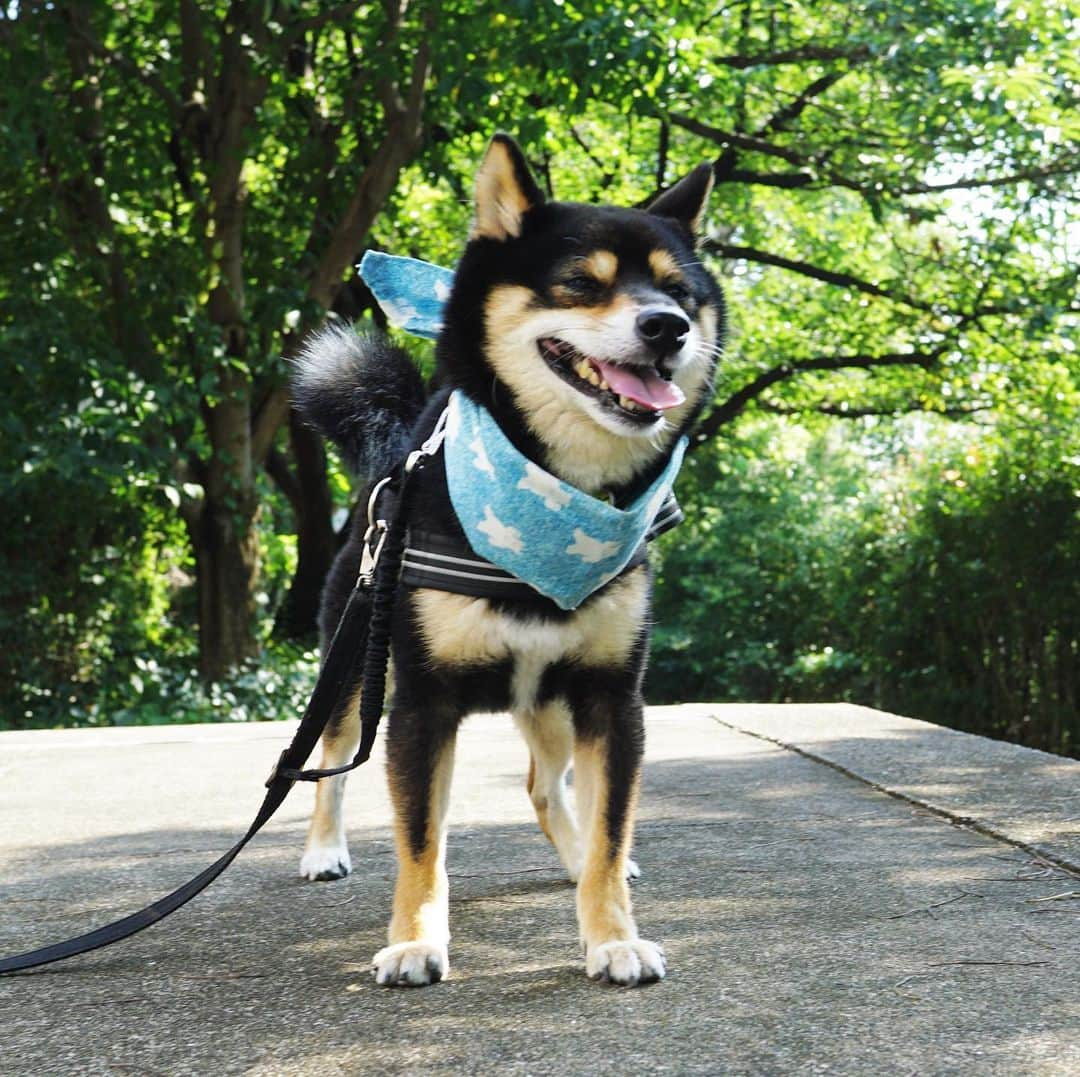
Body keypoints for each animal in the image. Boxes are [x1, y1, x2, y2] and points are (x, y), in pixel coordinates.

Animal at [291, 132, 725, 985]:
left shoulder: (610, 696)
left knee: (543, 785)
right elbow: (421, 843)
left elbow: (612, 825)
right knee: (330, 759)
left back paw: (577, 857)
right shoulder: (420, 704)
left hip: (549, 700)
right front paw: (416, 940)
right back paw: (324, 849)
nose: (667, 327)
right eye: (580, 283)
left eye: (678, 292)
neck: (555, 496)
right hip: (352, 668)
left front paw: (613, 933)